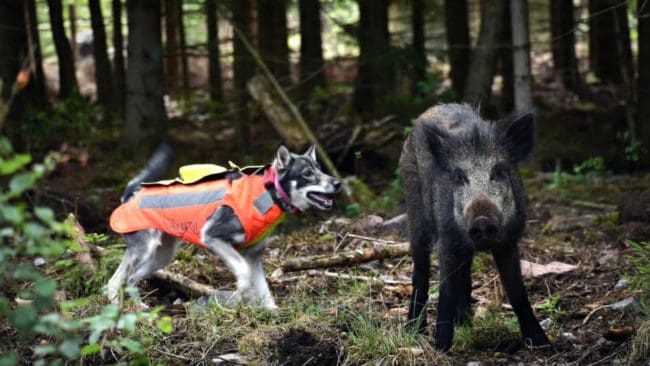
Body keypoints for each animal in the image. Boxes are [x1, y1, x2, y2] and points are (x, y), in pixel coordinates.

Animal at [106, 144, 340, 310]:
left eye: (320, 170)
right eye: (307, 173)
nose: (337, 183)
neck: (269, 192)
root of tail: (131, 192)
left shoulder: (254, 256)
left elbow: (264, 289)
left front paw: (272, 312)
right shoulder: (214, 239)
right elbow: (244, 274)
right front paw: (242, 296)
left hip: (162, 257)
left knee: (131, 279)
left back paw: (139, 308)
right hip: (143, 251)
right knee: (114, 281)